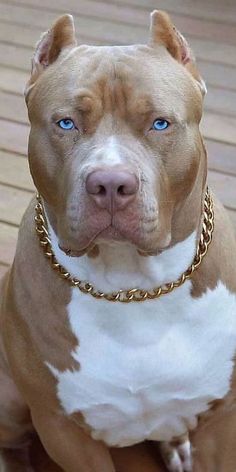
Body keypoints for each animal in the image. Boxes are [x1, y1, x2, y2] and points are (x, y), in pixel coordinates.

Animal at [0, 11, 236, 472]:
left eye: (160, 123)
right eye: (66, 123)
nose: (110, 183)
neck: (132, 289)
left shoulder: (222, 422)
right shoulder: (63, 431)